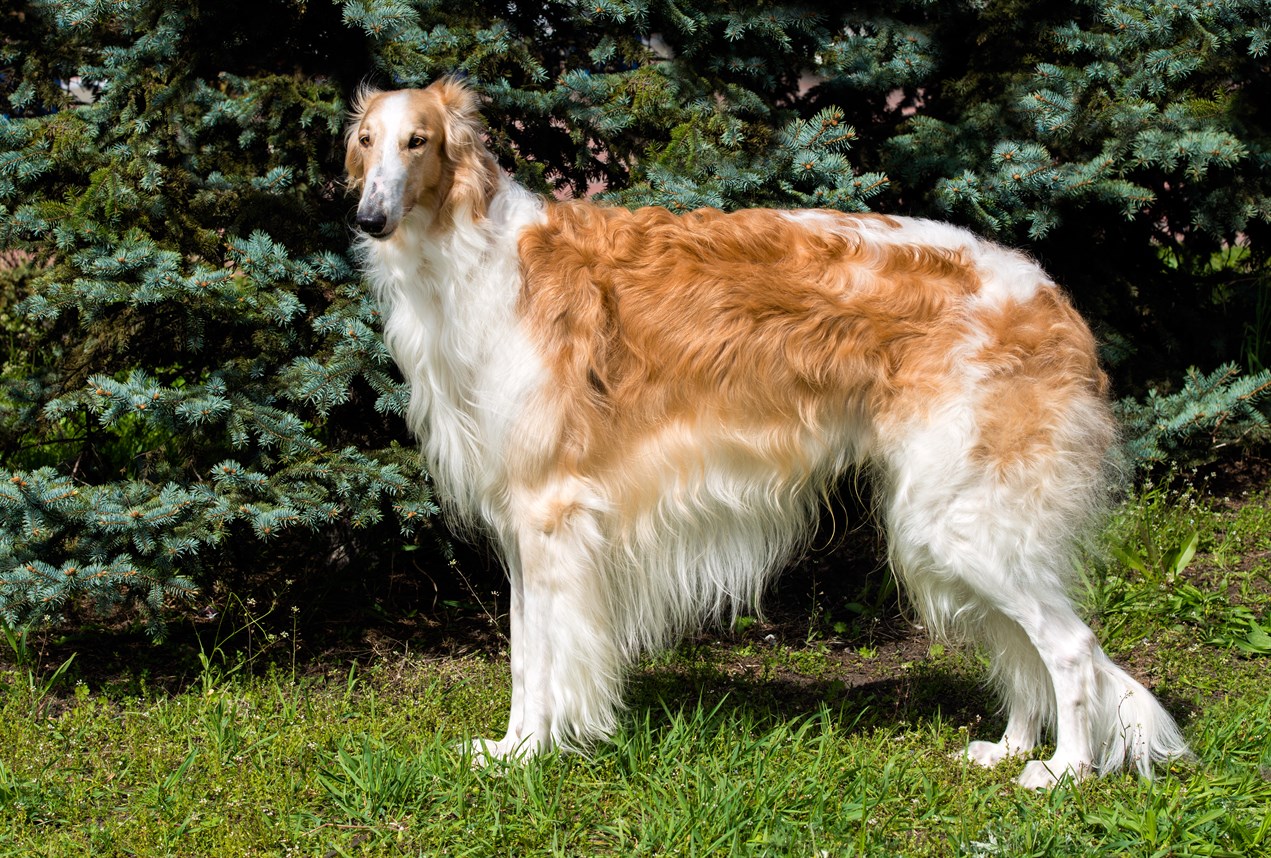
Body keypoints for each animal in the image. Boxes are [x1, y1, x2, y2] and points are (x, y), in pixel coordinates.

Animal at [345, 77, 1189, 788]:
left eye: (418, 141)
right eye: (364, 140)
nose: (368, 218)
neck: (479, 260)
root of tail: (1051, 296)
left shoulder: (550, 512)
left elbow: (548, 657)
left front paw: (531, 754)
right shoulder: (523, 521)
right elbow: (525, 656)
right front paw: (507, 750)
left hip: (959, 518)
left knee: (1069, 648)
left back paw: (1063, 772)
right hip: (950, 519)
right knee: (1021, 649)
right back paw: (1010, 747)